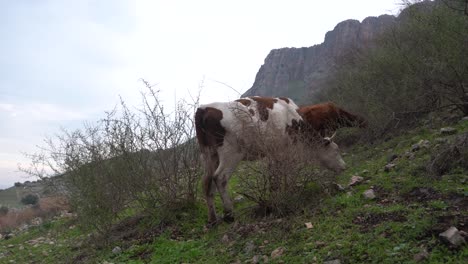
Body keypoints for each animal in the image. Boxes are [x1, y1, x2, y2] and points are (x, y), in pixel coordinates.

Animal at [195, 96, 348, 225]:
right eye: (336, 151)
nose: (344, 167)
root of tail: (204, 108)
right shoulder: (286, 149)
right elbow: (286, 171)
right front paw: (289, 190)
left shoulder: (273, 152)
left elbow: (274, 174)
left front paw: (275, 192)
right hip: (231, 153)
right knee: (220, 177)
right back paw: (229, 214)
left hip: (208, 155)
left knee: (206, 182)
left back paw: (213, 219)